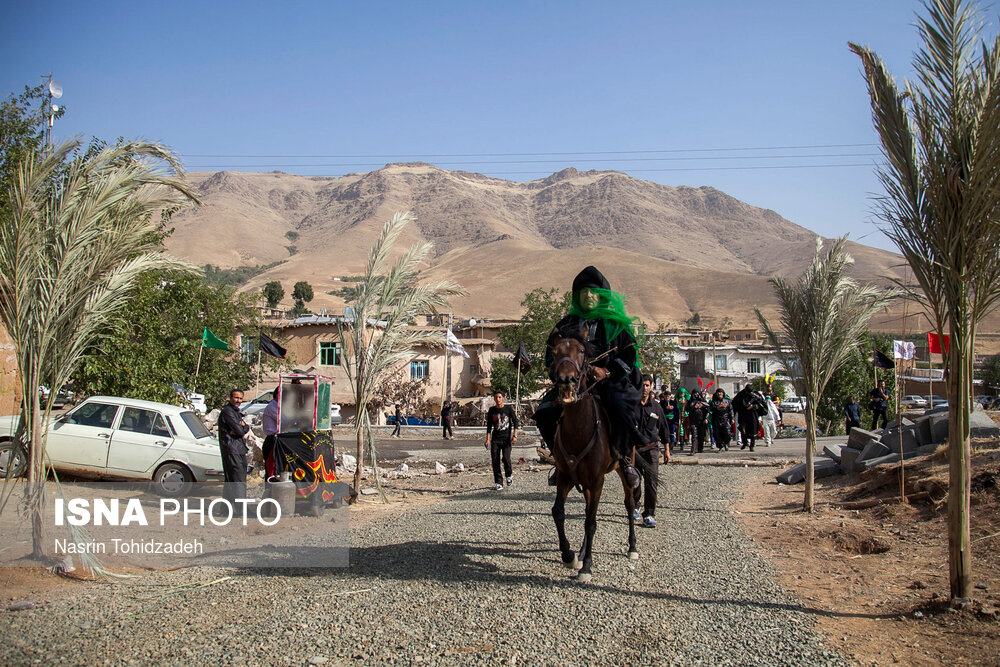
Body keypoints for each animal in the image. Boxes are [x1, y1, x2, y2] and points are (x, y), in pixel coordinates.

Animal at [552, 332, 636, 580]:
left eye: (581, 351)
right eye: (555, 352)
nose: (566, 380)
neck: (579, 430)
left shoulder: (598, 480)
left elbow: (590, 522)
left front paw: (587, 566)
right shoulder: (565, 476)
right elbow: (558, 512)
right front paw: (569, 555)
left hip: (622, 470)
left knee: (629, 503)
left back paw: (632, 547)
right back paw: (580, 552)